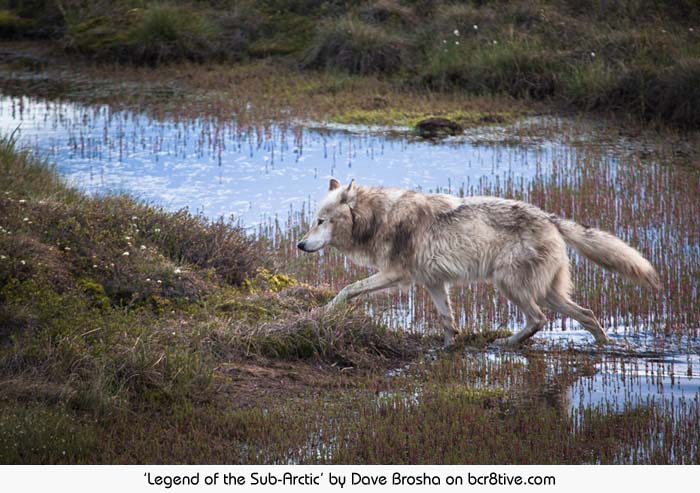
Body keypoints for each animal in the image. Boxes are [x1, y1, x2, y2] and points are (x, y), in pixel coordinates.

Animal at [296, 178, 660, 346]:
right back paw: (604, 346)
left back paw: (506, 343)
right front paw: (447, 347)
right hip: (546, 292)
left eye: (320, 221)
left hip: (509, 285)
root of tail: (550, 218)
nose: (300, 244)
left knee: (538, 320)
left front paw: (324, 312)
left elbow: (347, 289)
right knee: (587, 315)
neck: (378, 218)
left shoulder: (396, 275)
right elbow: (447, 321)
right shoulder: (434, 283)